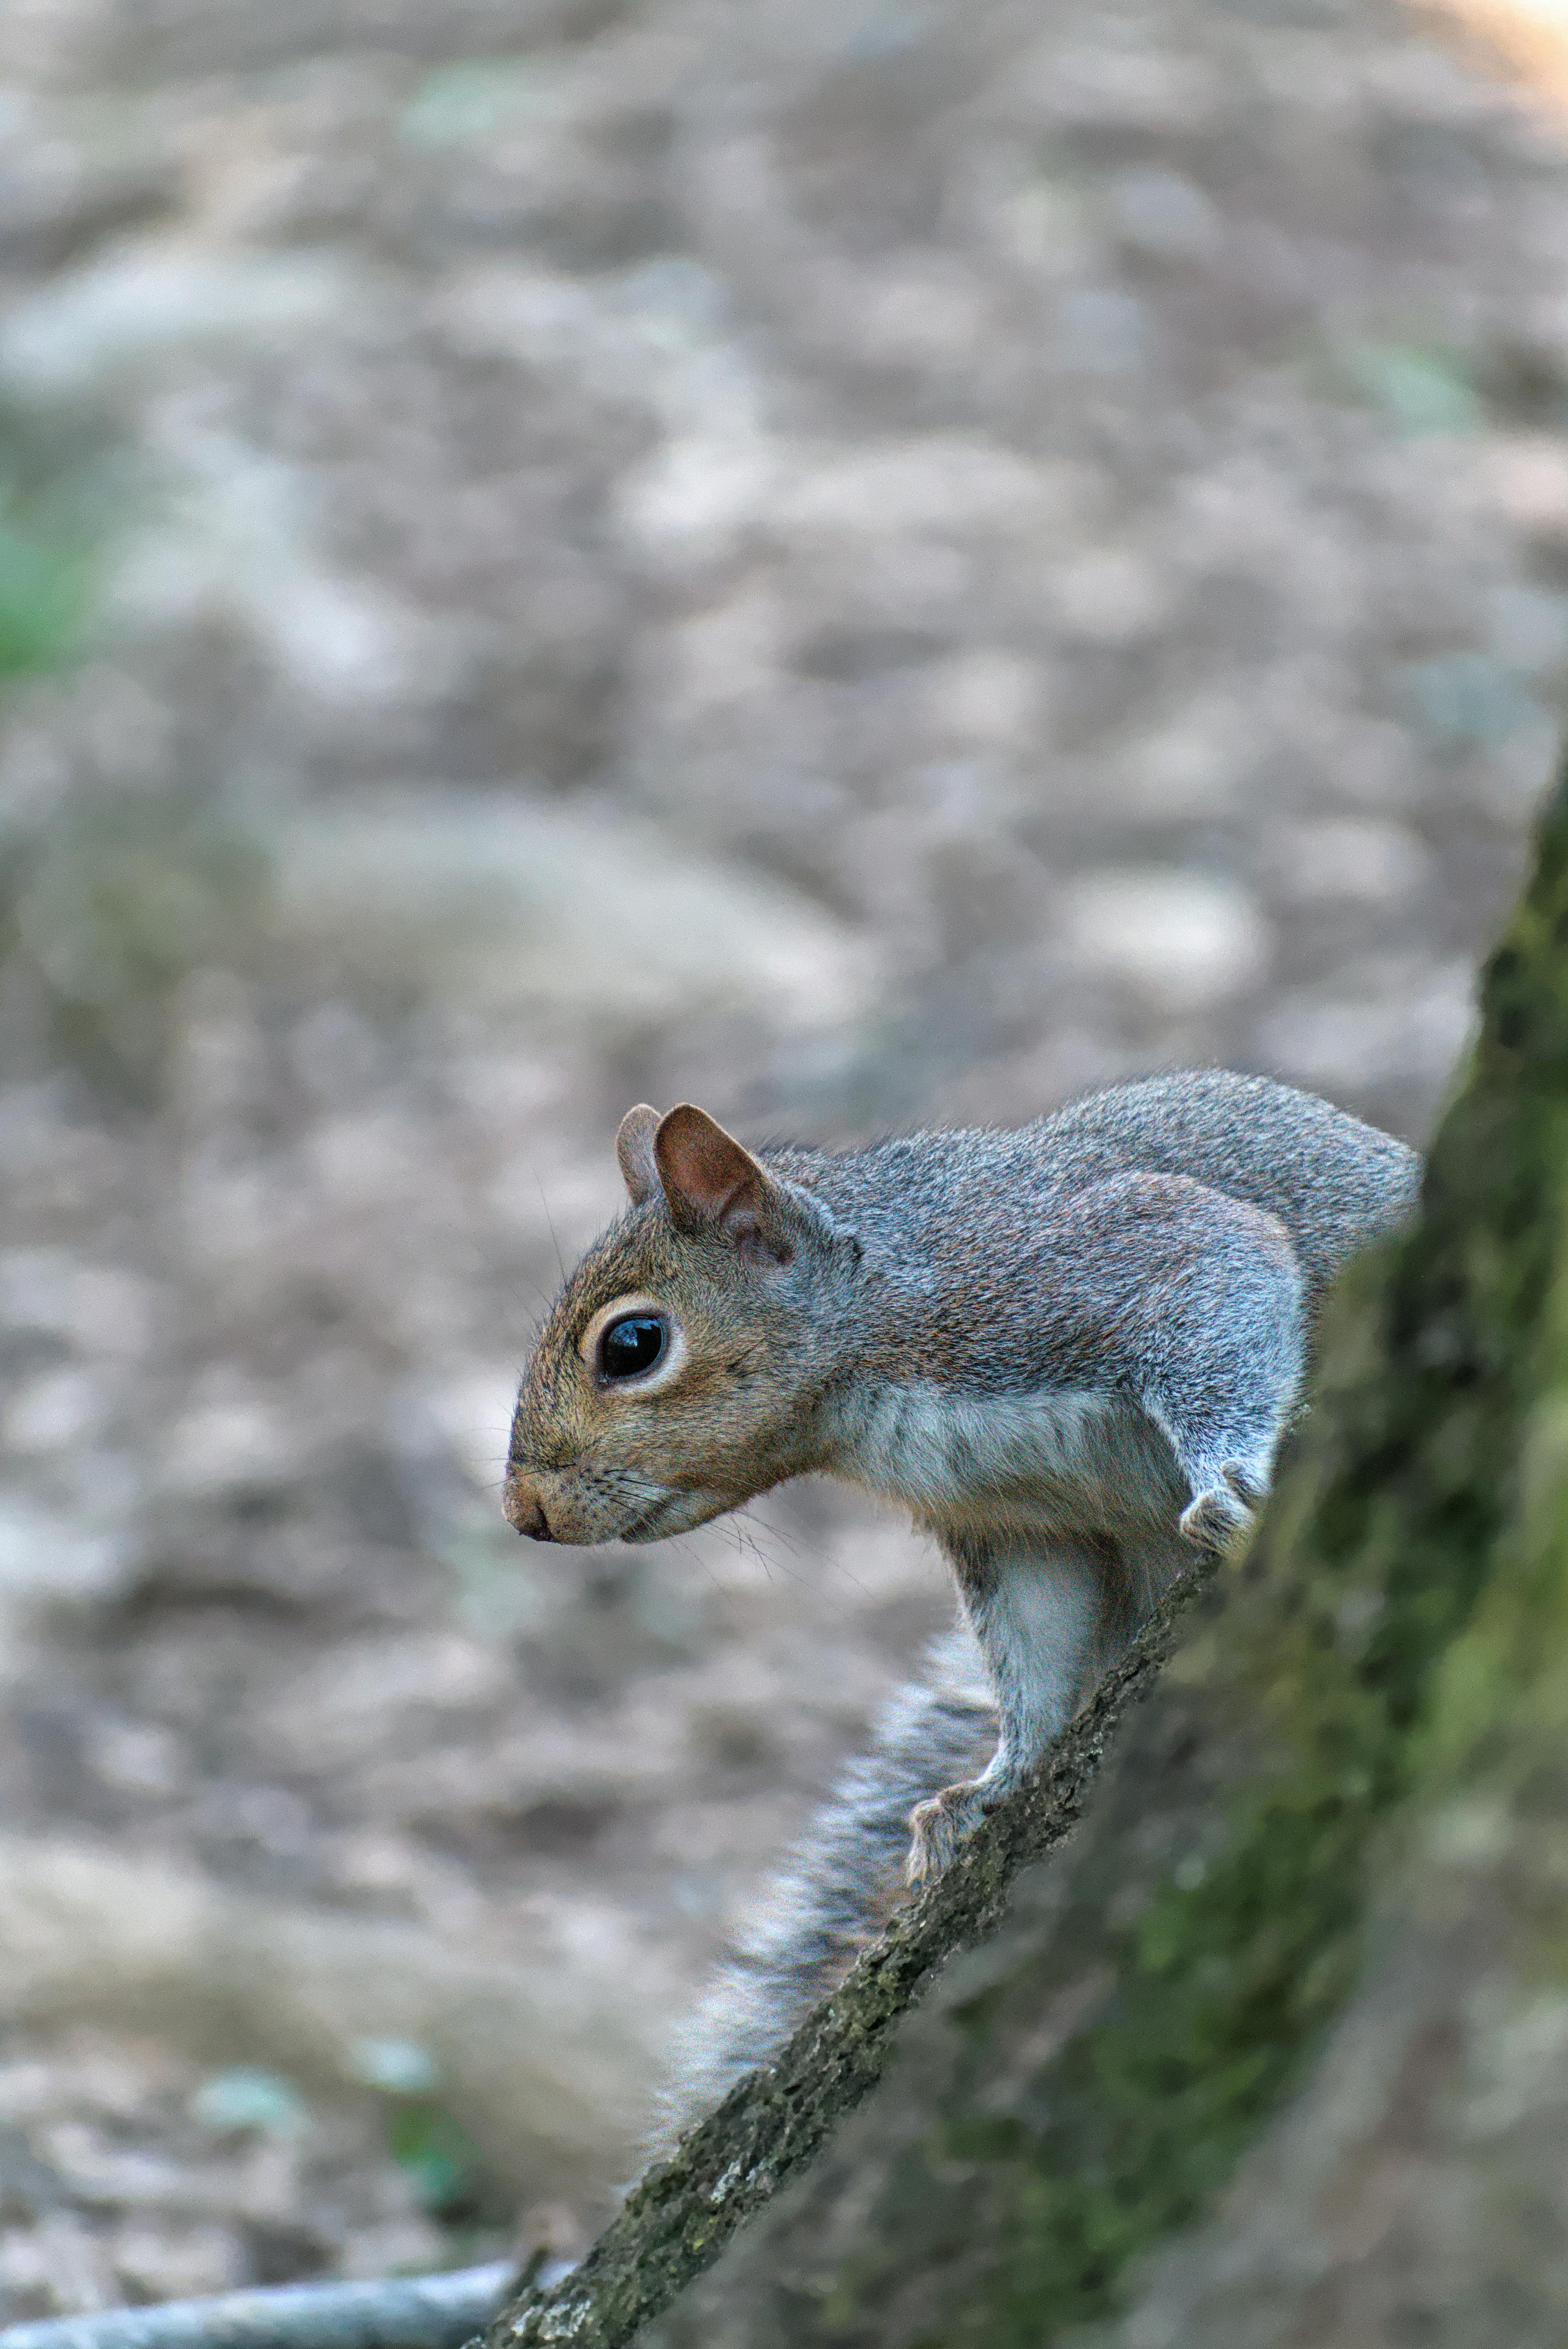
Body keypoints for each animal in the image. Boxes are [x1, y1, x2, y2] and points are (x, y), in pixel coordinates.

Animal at [504, 1076, 1418, 2123]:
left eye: (632, 1344)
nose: (524, 1511)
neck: (864, 1367)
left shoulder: (1081, 1264)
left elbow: (1220, 1284)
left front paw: (1234, 1484)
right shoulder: (1017, 1529)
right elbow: (1035, 1653)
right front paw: (992, 1786)